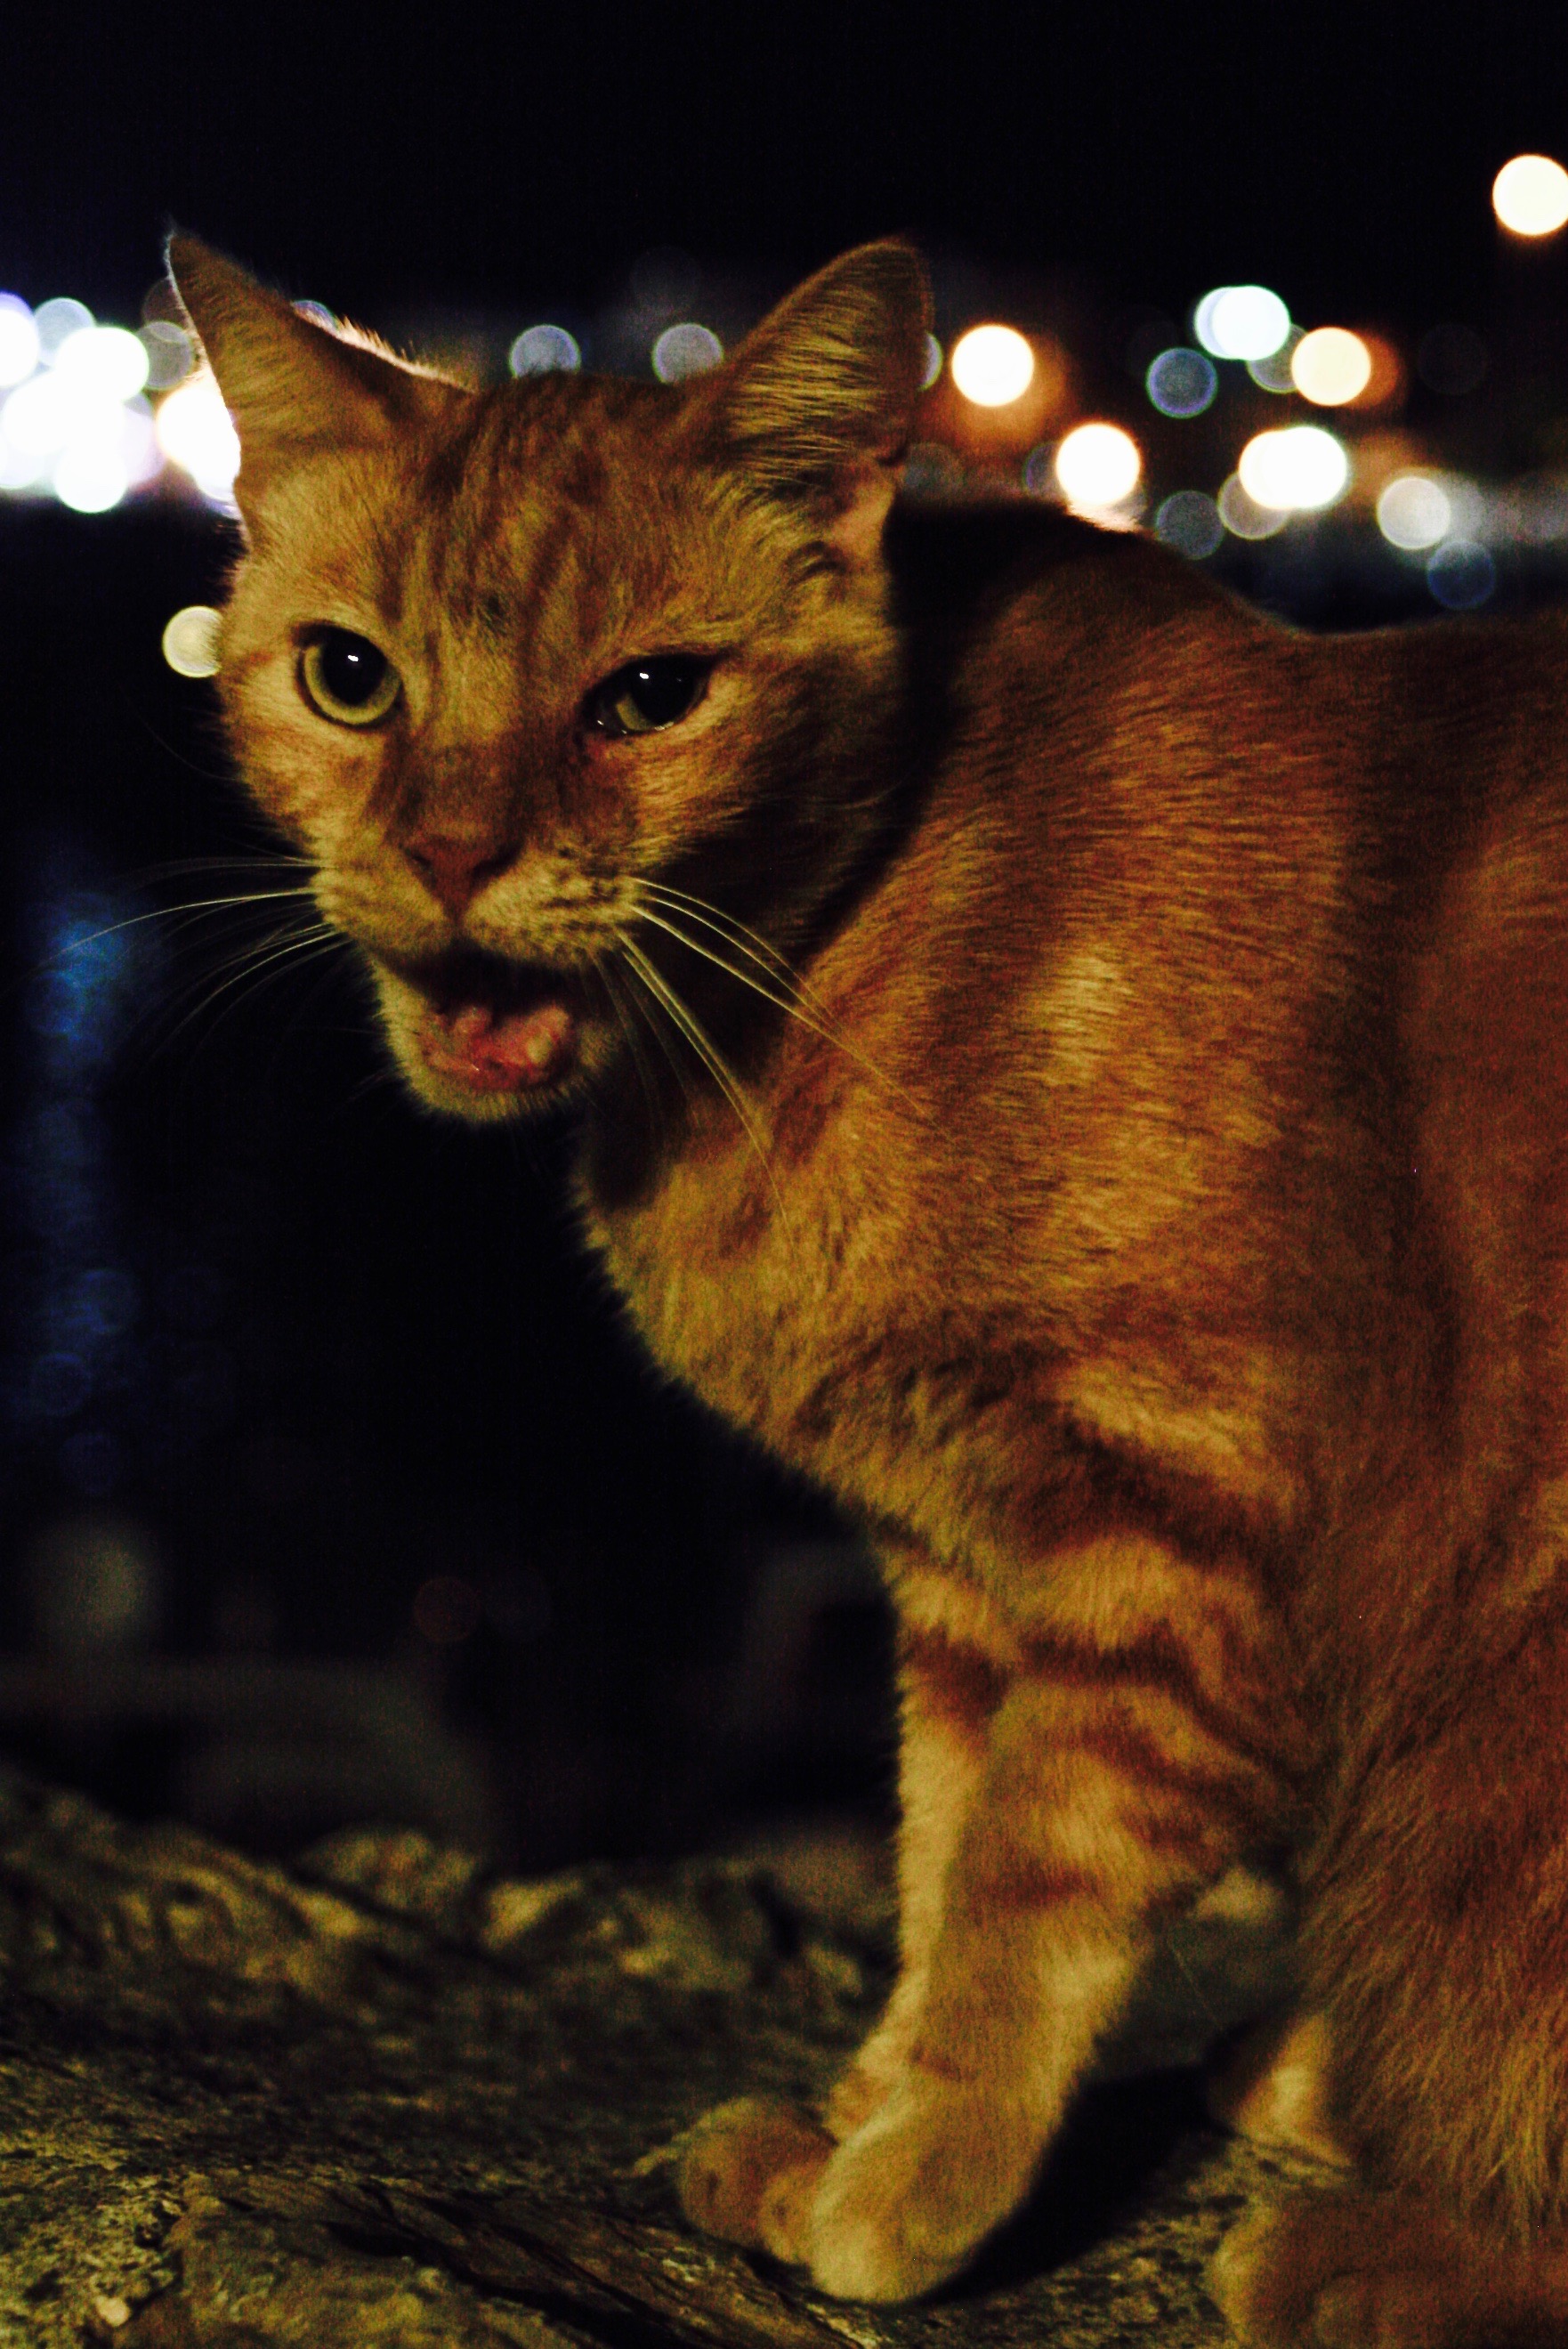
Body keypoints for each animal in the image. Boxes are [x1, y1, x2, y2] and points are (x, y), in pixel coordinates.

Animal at [169, 228, 1568, 2346]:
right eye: (350, 676)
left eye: (645, 697)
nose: (451, 851)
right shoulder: (959, 1571)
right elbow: (931, 1856)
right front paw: (865, 2114)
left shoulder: (1179, 1534)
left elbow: (1022, 1890)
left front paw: (922, 2178)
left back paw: (1365, 2240)